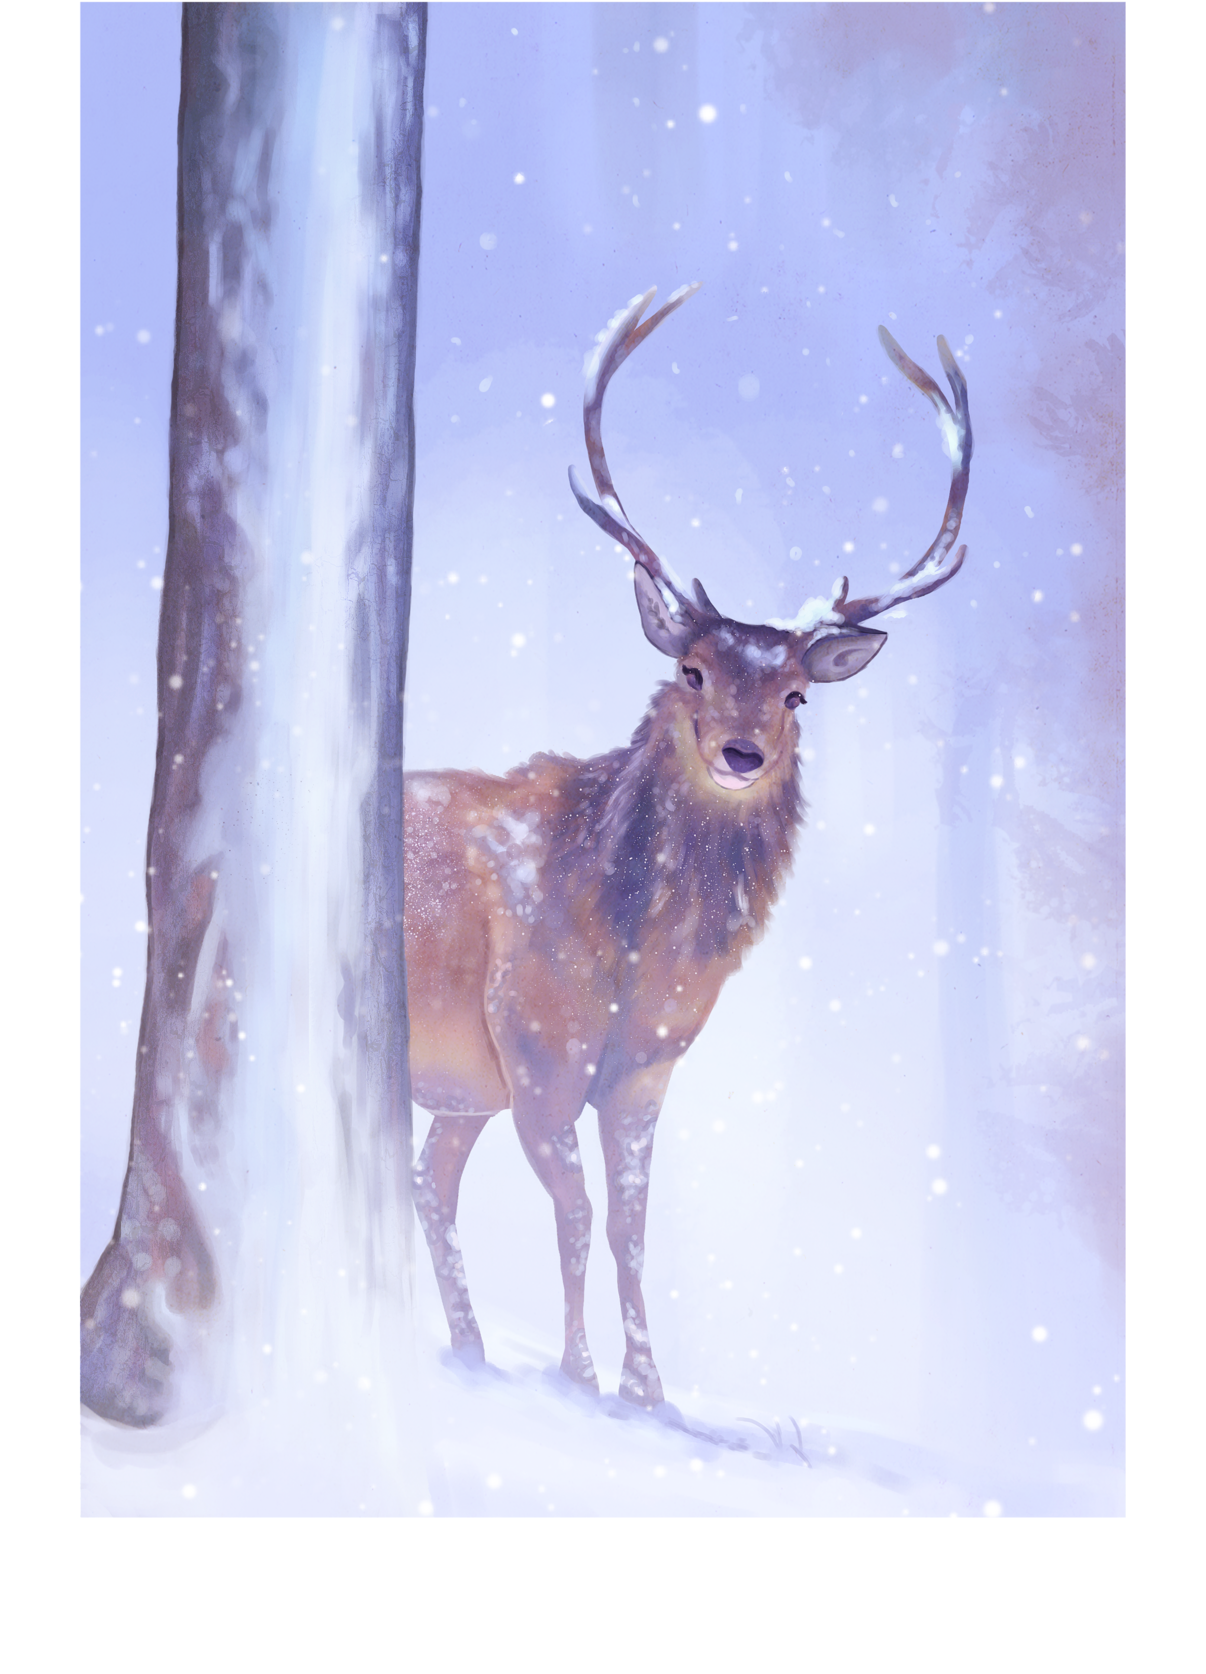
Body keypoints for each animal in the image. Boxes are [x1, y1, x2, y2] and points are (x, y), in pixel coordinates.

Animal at [405, 283, 972, 1407]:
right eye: (694, 670)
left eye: (796, 694)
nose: (742, 752)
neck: (630, 953)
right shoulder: (537, 1048)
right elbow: (578, 1213)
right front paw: (582, 1374)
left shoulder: (644, 1071)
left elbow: (631, 1225)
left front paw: (647, 1386)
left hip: (459, 1085)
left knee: (427, 1180)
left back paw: (471, 1350)